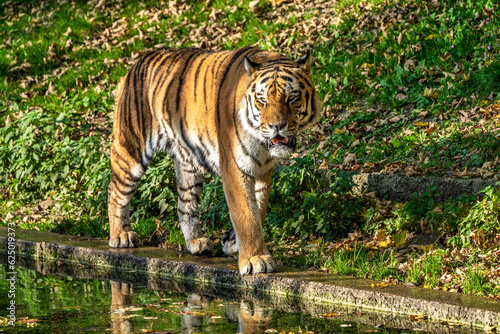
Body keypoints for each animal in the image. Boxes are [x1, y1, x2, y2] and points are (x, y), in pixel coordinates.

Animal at [107, 45, 322, 276]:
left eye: (292, 98)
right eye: (262, 100)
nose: (276, 126)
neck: (261, 144)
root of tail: (140, 60)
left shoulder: (263, 171)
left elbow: (259, 209)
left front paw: (232, 242)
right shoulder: (234, 168)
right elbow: (246, 215)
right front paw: (255, 259)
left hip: (188, 163)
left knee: (185, 204)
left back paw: (196, 243)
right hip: (131, 148)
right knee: (115, 191)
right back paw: (120, 236)